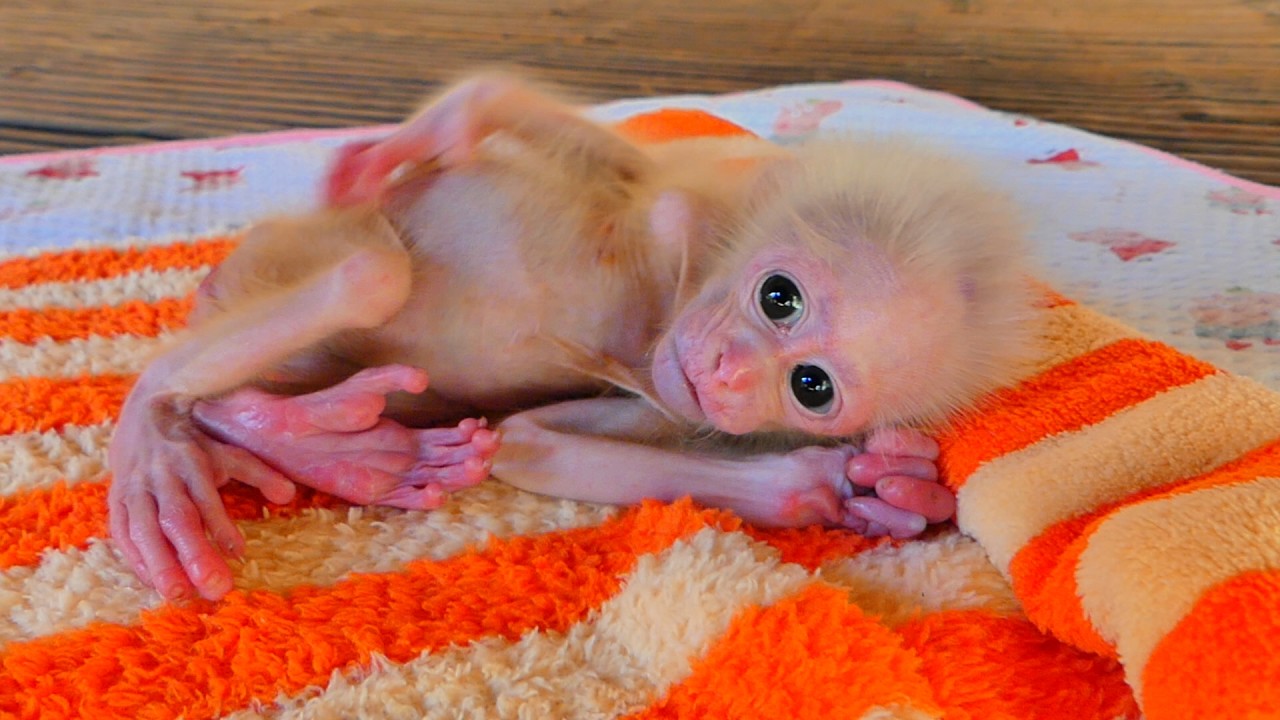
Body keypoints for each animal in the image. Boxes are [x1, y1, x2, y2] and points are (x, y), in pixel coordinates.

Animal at [107, 74, 1033, 602]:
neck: (673, 301)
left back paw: (324, 446)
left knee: (355, 296)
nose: (730, 371)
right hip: (274, 262)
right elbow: (600, 160)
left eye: (812, 386)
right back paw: (160, 425)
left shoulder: (671, 402)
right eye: (780, 297)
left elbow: (528, 441)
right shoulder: (695, 203)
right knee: (372, 271)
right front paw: (436, 129)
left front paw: (847, 486)